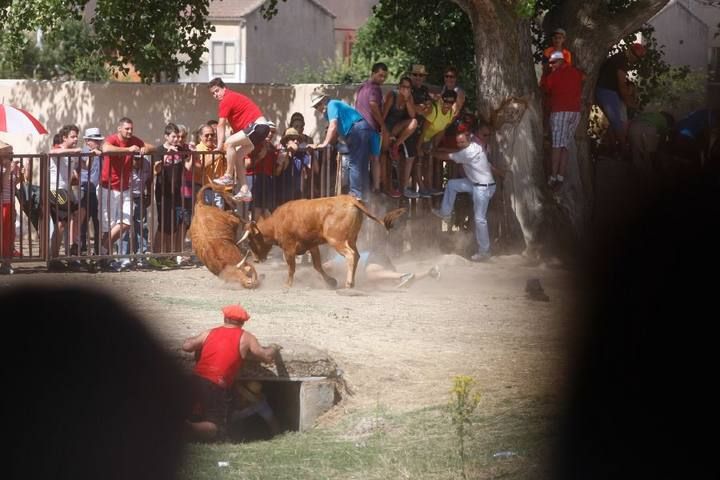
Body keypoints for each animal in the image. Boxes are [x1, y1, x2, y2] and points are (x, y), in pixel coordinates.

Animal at [238, 193, 402, 286]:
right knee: (357, 255)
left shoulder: (288, 248)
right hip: (352, 239)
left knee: (351, 255)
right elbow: (317, 265)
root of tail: (350, 200)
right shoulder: (312, 246)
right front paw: (331, 282)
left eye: (250, 241)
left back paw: (349, 283)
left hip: (337, 240)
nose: (256, 260)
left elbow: (291, 267)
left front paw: (287, 285)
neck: (277, 222)